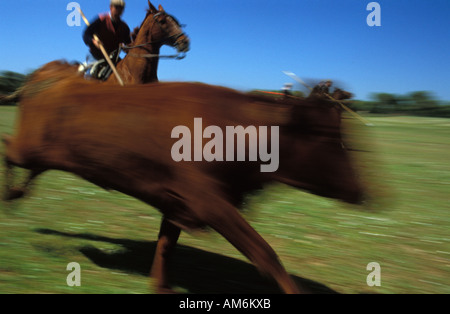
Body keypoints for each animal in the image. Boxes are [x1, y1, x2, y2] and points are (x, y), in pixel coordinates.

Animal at [1, 62, 364, 294]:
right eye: (327, 136)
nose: (360, 192)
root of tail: (50, 75)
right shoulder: (211, 203)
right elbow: (266, 254)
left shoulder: (179, 200)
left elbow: (166, 246)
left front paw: (160, 286)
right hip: (28, 148)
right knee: (7, 147)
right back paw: (13, 198)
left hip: (41, 154)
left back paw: (18, 194)